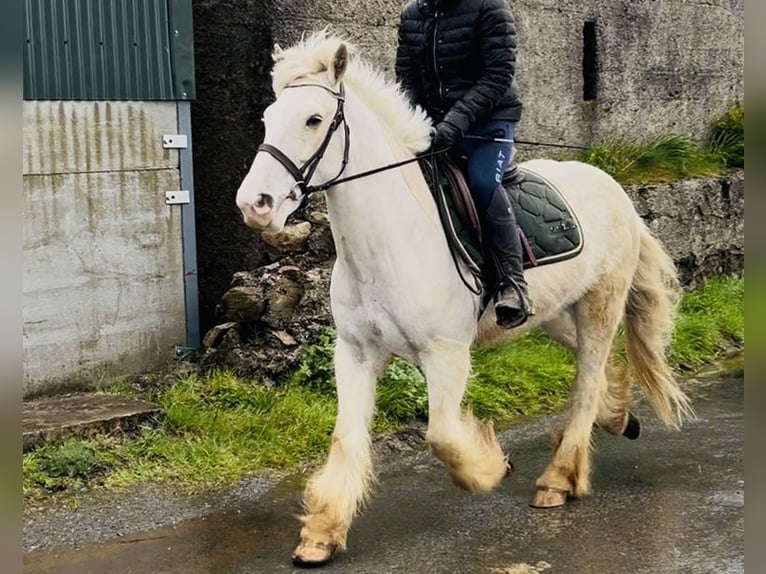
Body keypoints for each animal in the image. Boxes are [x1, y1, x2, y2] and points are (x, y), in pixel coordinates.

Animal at [235, 32, 694, 566]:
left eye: (313, 119)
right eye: (269, 118)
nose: (255, 205)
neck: (391, 241)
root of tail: (613, 188)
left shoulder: (446, 354)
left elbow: (441, 437)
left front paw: (494, 466)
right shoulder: (355, 353)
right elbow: (346, 437)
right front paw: (321, 533)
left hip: (601, 304)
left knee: (587, 378)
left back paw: (559, 479)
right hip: (554, 313)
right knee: (594, 371)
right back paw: (616, 417)